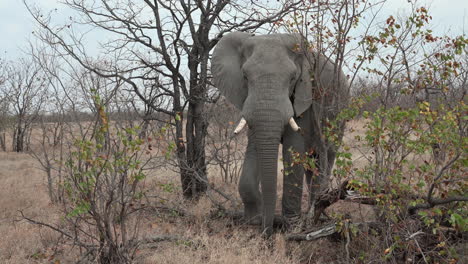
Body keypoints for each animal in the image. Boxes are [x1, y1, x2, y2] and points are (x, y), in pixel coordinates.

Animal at [211, 32, 348, 236]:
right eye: (245, 76)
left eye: (292, 78)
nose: (266, 232)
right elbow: (254, 146)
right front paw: (253, 220)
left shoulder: (304, 96)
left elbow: (294, 148)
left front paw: (291, 226)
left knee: (326, 157)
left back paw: (318, 213)